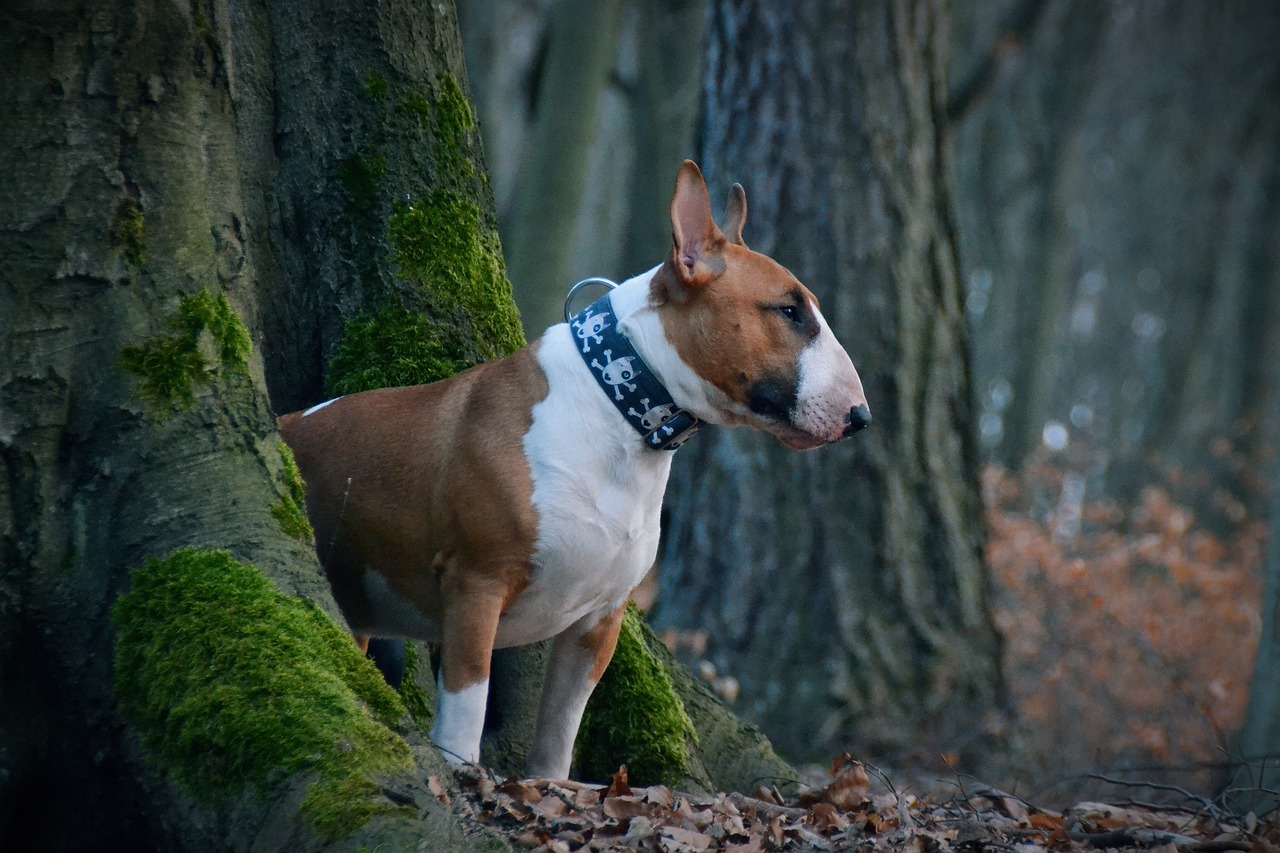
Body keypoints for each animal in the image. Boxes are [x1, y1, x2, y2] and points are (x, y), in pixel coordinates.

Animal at [282, 159, 870, 778]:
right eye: (788, 311)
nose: (862, 416)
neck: (620, 414)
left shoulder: (598, 622)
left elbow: (560, 732)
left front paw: (547, 789)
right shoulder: (476, 586)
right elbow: (466, 714)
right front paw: (466, 778)